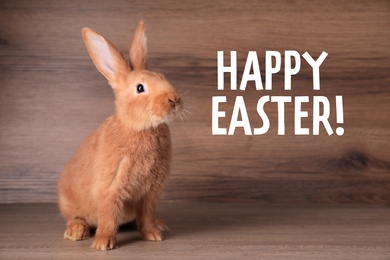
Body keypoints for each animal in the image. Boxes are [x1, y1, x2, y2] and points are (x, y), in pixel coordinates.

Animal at [57, 20, 182, 250]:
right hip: (69, 201)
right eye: (140, 88)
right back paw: (76, 231)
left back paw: (160, 225)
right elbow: (108, 215)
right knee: (75, 217)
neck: (139, 127)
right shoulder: (110, 187)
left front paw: (152, 234)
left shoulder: (149, 194)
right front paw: (103, 244)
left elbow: (146, 215)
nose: (174, 100)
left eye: (163, 77)